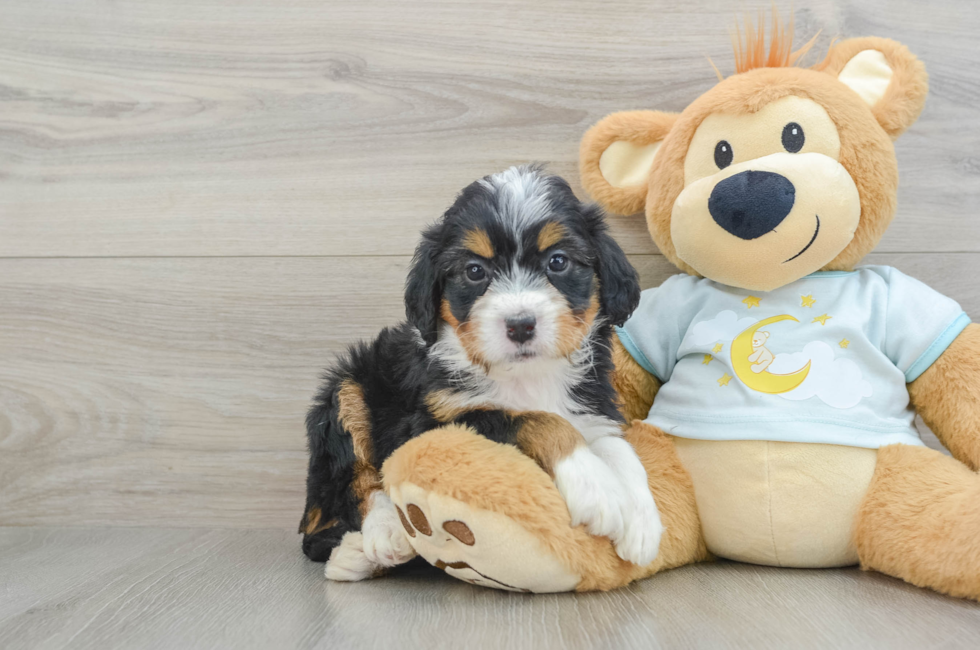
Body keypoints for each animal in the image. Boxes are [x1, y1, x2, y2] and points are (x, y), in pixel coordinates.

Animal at [300, 165, 668, 580]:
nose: (521, 325)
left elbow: (619, 447)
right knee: (351, 490)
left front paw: (641, 521)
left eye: (558, 262)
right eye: (475, 271)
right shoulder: (436, 420)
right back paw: (378, 539)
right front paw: (596, 489)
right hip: (346, 390)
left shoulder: (592, 405)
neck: (527, 375)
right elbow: (538, 420)